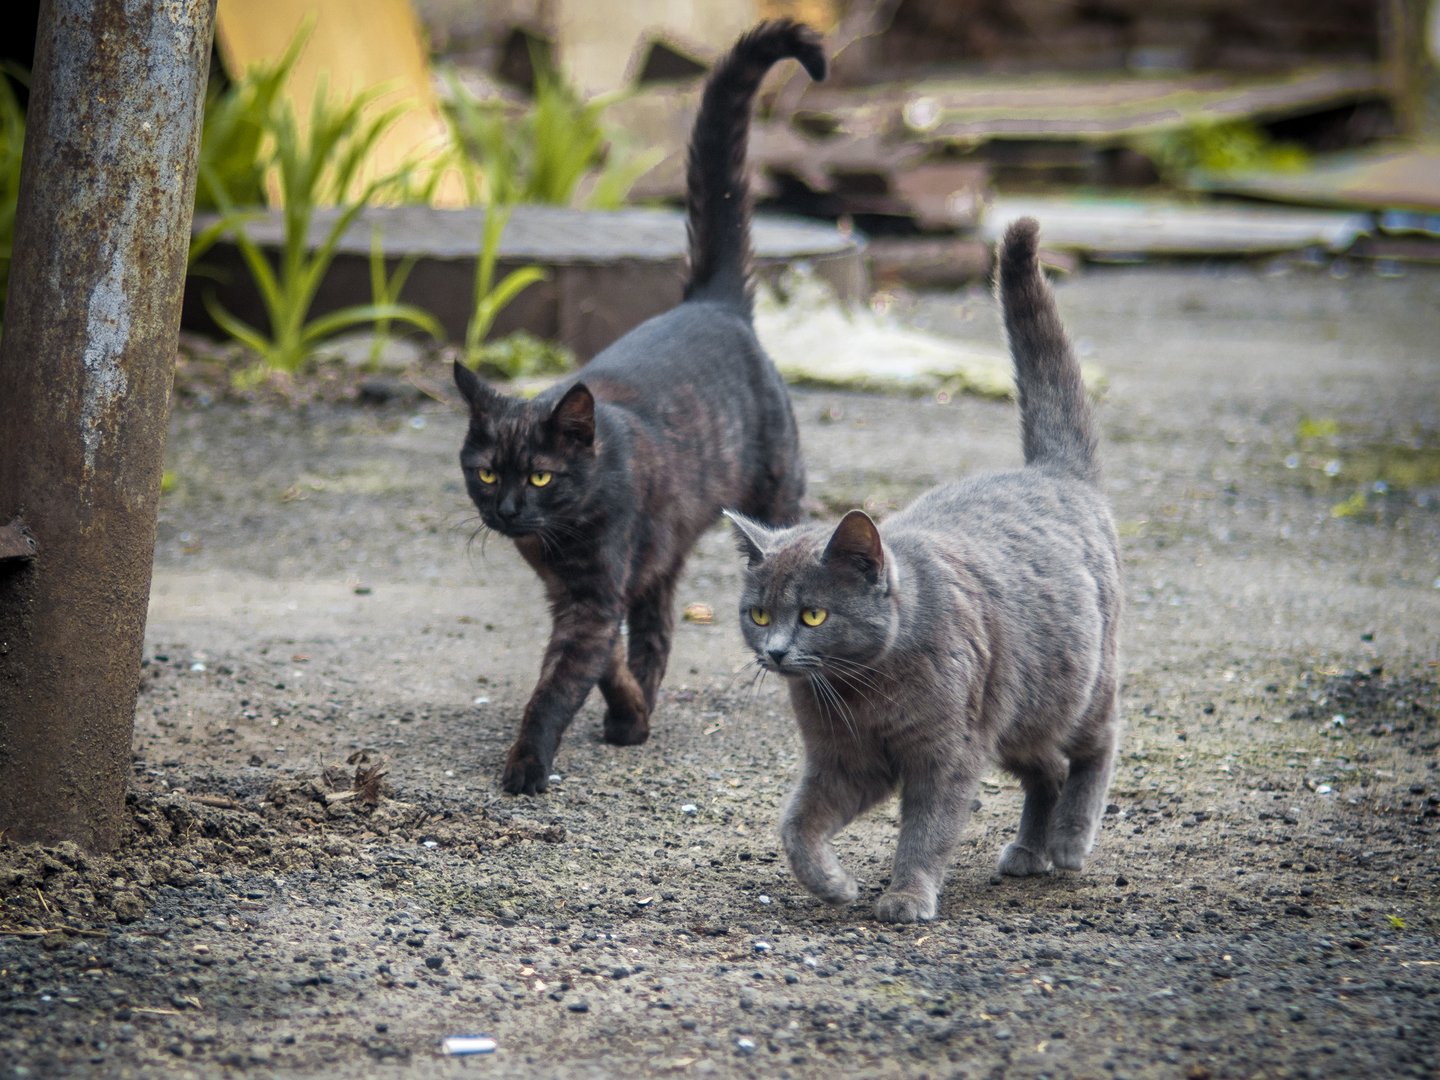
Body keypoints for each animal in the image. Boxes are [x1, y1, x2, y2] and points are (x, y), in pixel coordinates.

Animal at [455, 16, 829, 794]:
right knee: (658, 631)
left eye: (540, 474)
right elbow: (607, 664)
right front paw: (628, 709)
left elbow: (559, 683)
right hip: (663, 552)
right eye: (486, 472)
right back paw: (636, 718)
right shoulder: (585, 595)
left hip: (774, 497)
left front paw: (527, 763)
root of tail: (712, 301)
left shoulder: (595, 597)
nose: (507, 510)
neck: (558, 535)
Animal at [725, 217, 1117, 921]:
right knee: (1045, 769)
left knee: (1094, 747)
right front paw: (834, 884)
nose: (774, 651)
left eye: (814, 614)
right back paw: (1028, 852)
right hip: (1015, 722)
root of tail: (1052, 471)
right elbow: (796, 824)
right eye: (759, 614)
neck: (862, 692)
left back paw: (1070, 842)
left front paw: (906, 895)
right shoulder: (845, 761)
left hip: (1075, 686)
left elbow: (927, 828)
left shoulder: (947, 753)